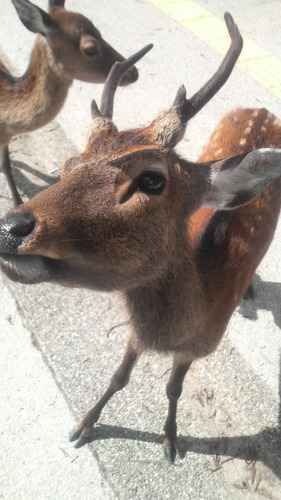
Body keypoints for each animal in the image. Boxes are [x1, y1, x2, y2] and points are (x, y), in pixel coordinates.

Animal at [0, 0, 139, 207]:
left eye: (100, 32)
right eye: (90, 49)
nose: (134, 72)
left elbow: (6, 165)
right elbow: (6, 166)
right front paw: (17, 202)